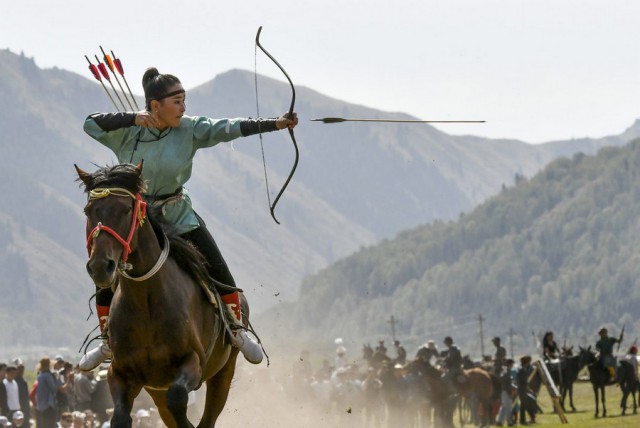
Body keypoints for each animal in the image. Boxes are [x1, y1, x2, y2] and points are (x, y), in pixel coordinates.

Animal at [77, 164, 240, 428]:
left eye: (126, 209)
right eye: (88, 210)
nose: (101, 266)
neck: (146, 302)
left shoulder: (193, 363)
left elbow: (179, 399)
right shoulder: (121, 374)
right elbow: (120, 417)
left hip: (223, 371)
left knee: (208, 415)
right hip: (156, 390)